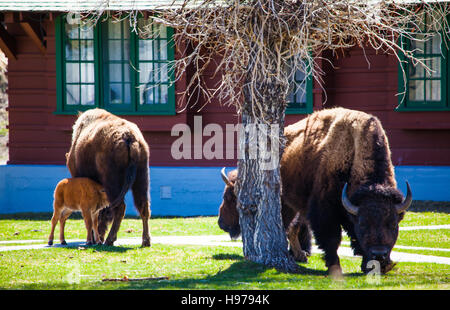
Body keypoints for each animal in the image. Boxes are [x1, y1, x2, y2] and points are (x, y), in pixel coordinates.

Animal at [66, 109, 151, 247]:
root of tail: (129, 137)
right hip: (141, 178)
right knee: (143, 206)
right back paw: (145, 241)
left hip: (113, 184)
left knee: (120, 207)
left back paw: (109, 240)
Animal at [218, 107, 412, 276]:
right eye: (364, 223)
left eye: (393, 224)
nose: (379, 255)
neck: (353, 152)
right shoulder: (324, 210)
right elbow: (332, 238)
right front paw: (335, 266)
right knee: (288, 226)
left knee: (290, 226)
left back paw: (298, 255)